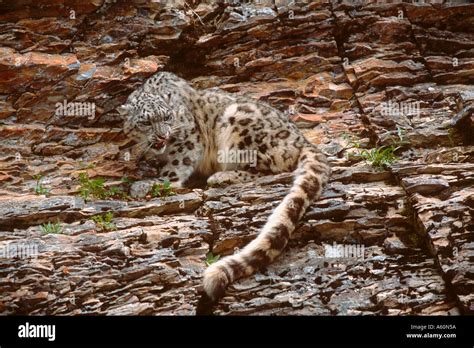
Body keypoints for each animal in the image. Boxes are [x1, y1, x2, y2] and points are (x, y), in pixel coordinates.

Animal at [119, 70, 330, 302]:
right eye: (145, 122)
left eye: (167, 117)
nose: (162, 135)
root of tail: (302, 139)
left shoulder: (188, 138)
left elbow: (176, 165)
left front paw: (151, 183)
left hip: (241, 125)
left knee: (266, 169)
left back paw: (220, 177)